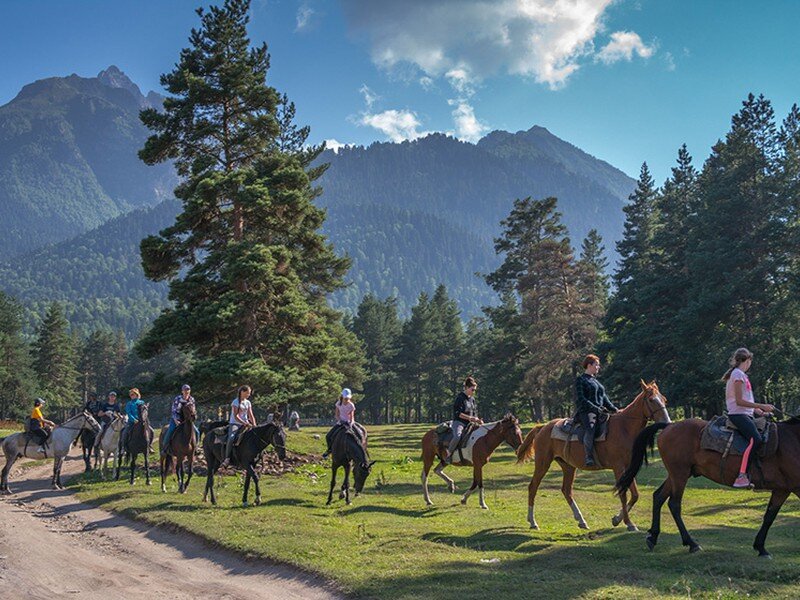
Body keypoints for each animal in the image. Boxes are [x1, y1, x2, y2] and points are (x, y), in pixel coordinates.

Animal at [516, 382, 672, 532]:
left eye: (664, 399)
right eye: (651, 400)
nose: (667, 422)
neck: (624, 428)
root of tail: (542, 427)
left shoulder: (629, 467)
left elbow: (635, 495)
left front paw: (616, 519)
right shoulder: (618, 468)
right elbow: (623, 494)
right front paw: (629, 523)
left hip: (568, 466)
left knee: (566, 490)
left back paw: (581, 520)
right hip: (543, 463)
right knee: (533, 487)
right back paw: (533, 522)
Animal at [616, 414, 800, 556]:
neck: (792, 440)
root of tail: (669, 426)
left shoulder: (782, 489)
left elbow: (769, 516)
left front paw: (760, 547)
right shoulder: (791, 488)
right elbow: (770, 517)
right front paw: (761, 548)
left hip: (678, 474)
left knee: (658, 496)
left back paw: (653, 537)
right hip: (679, 474)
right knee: (674, 504)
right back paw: (691, 543)